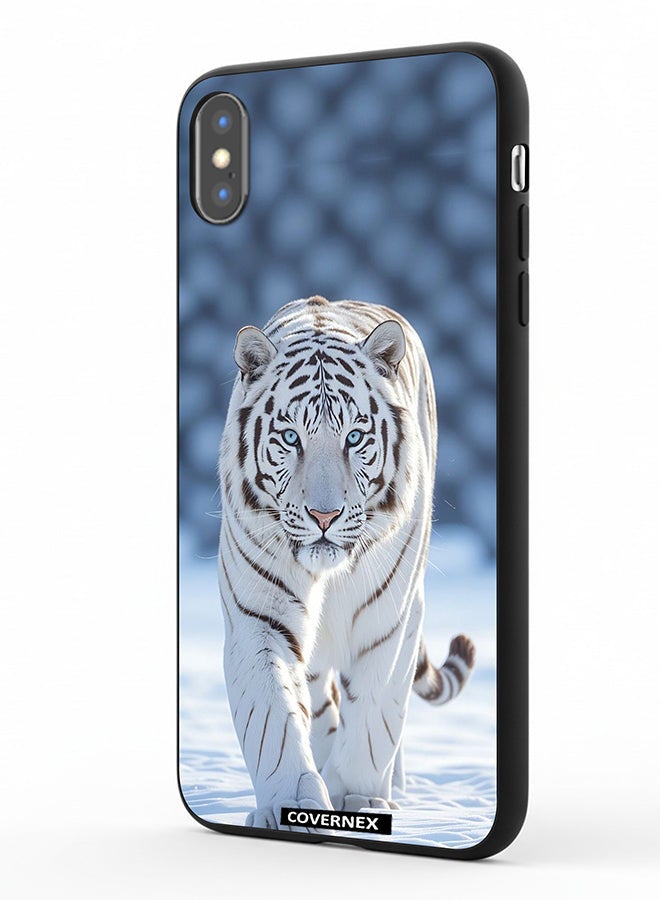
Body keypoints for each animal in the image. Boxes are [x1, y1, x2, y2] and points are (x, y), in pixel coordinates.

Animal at [218, 295, 475, 831]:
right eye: (290, 437)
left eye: (355, 437)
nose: (324, 515)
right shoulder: (259, 618)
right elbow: (274, 720)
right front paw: (290, 804)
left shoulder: (389, 620)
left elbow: (375, 715)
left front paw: (360, 799)